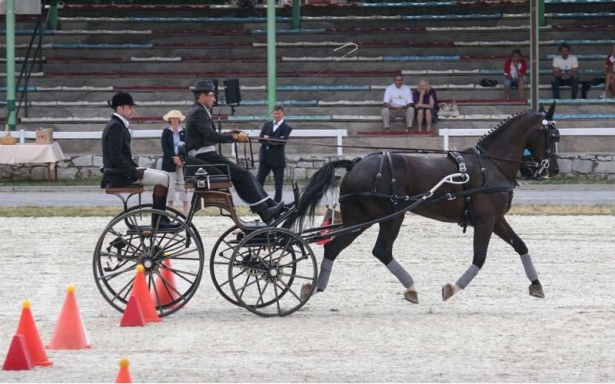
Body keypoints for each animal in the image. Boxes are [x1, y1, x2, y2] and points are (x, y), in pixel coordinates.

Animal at [296, 104, 560, 304]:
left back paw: (315, 286)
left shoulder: (496, 219)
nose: (554, 169)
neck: (489, 165)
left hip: (361, 218)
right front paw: (452, 288)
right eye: (553, 136)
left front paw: (536, 285)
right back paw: (411, 287)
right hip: (391, 216)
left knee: (333, 248)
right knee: (381, 250)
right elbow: (480, 258)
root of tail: (355, 163)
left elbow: (521, 246)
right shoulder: (485, 220)